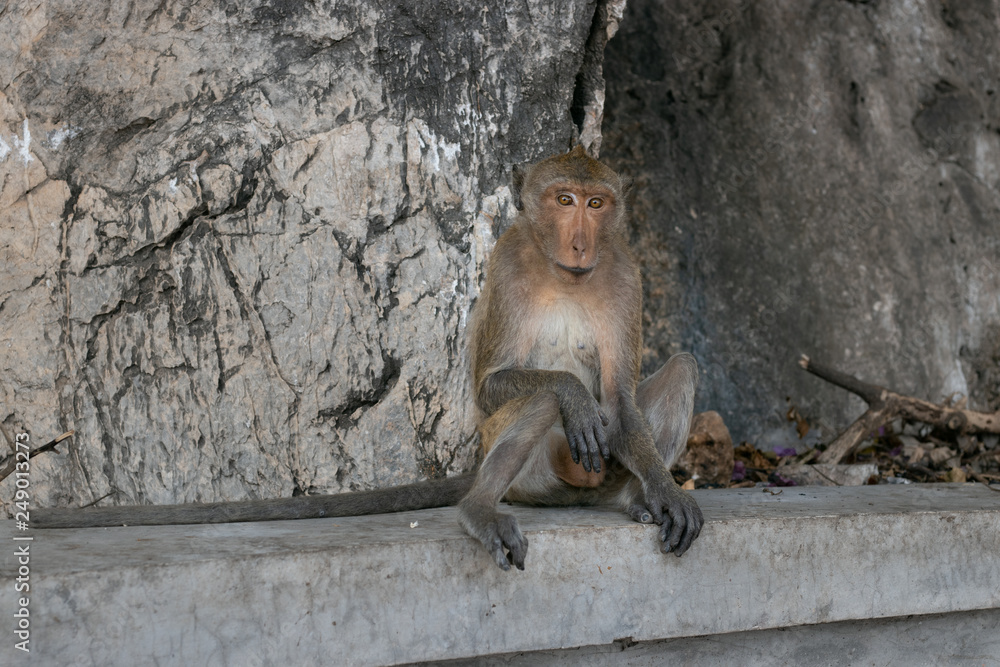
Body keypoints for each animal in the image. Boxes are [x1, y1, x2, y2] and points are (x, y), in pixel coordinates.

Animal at [33, 146, 703, 571]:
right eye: (564, 199)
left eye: (596, 204)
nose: (581, 240)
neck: (566, 273)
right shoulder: (509, 265)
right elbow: (495, 386)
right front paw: (573, 395)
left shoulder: (625, 273)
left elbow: (620, 400)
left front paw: (666, 493)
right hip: (536, 476)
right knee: (537, 400)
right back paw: (479, 508)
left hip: (597, 472)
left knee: (679, 371)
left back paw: (635, 498)